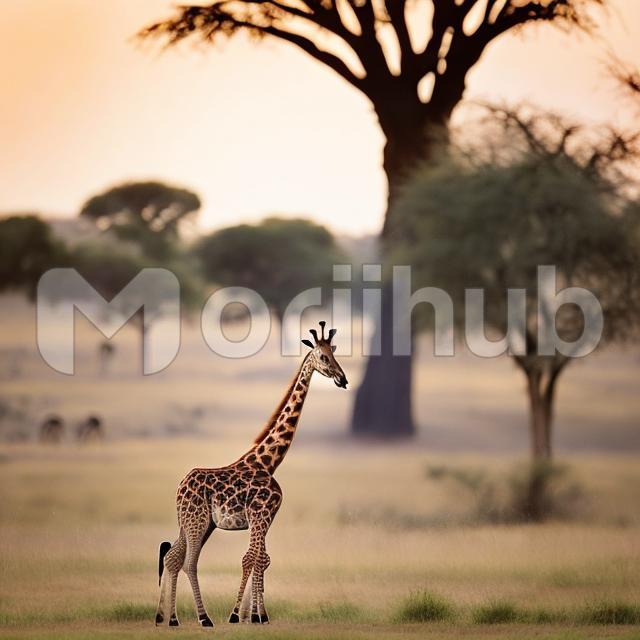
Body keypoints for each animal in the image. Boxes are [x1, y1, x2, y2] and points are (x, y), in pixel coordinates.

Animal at [155, 321, 348, 627]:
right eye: (323, 357)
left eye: (334, 353)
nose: (343, 379)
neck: (267, 462)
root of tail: (180, 486)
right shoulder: (260, 515)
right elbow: (252, 558)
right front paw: (241, 615)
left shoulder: (266, 518)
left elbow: (262, 559)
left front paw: (257, 615)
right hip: (197, 521)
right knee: (189, 561)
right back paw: (203, 618)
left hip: (195, 522)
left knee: (173, 556)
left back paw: (169, 619)